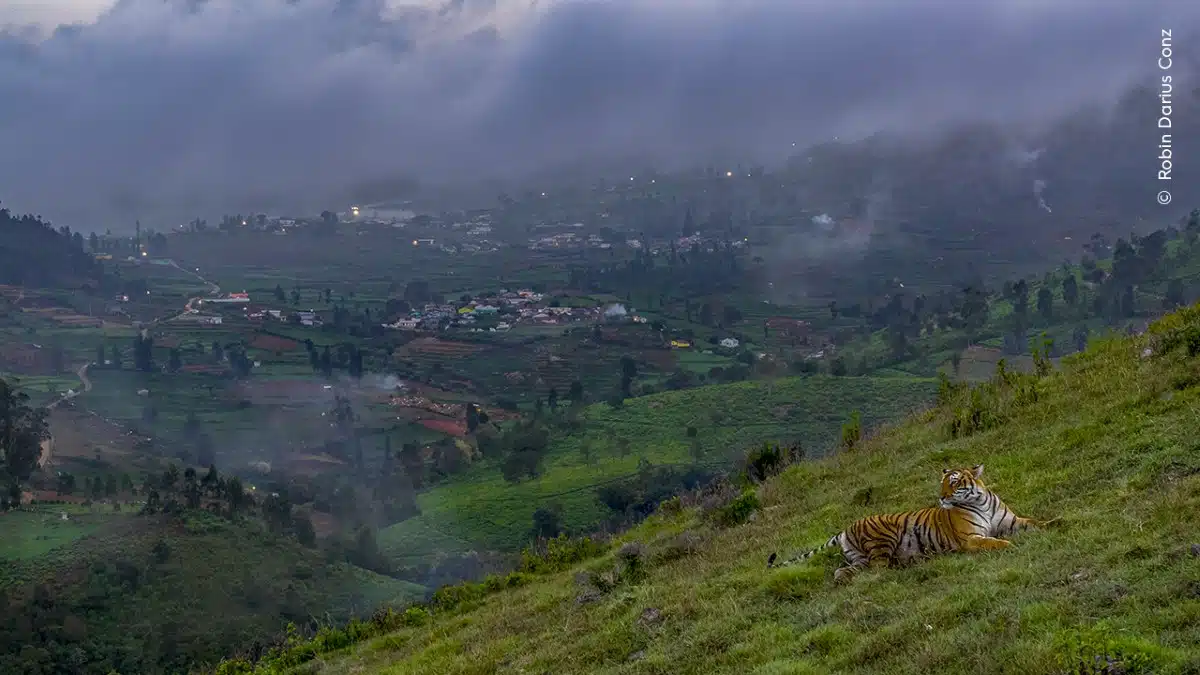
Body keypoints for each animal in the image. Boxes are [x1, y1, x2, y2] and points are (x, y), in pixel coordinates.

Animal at [763, 461, 1056, 583]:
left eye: (953, 482)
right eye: (942, 483)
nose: (941, 497)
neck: (979, 501)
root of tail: (845, 529)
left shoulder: (1012, 521)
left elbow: (1034, 522)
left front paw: (1057, 522)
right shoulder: (971, 539)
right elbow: (992, 542)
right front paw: (1008, 545)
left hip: (858, 559)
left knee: (846, 571)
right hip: (884, 539)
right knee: (879, 569)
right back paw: (906, 564)